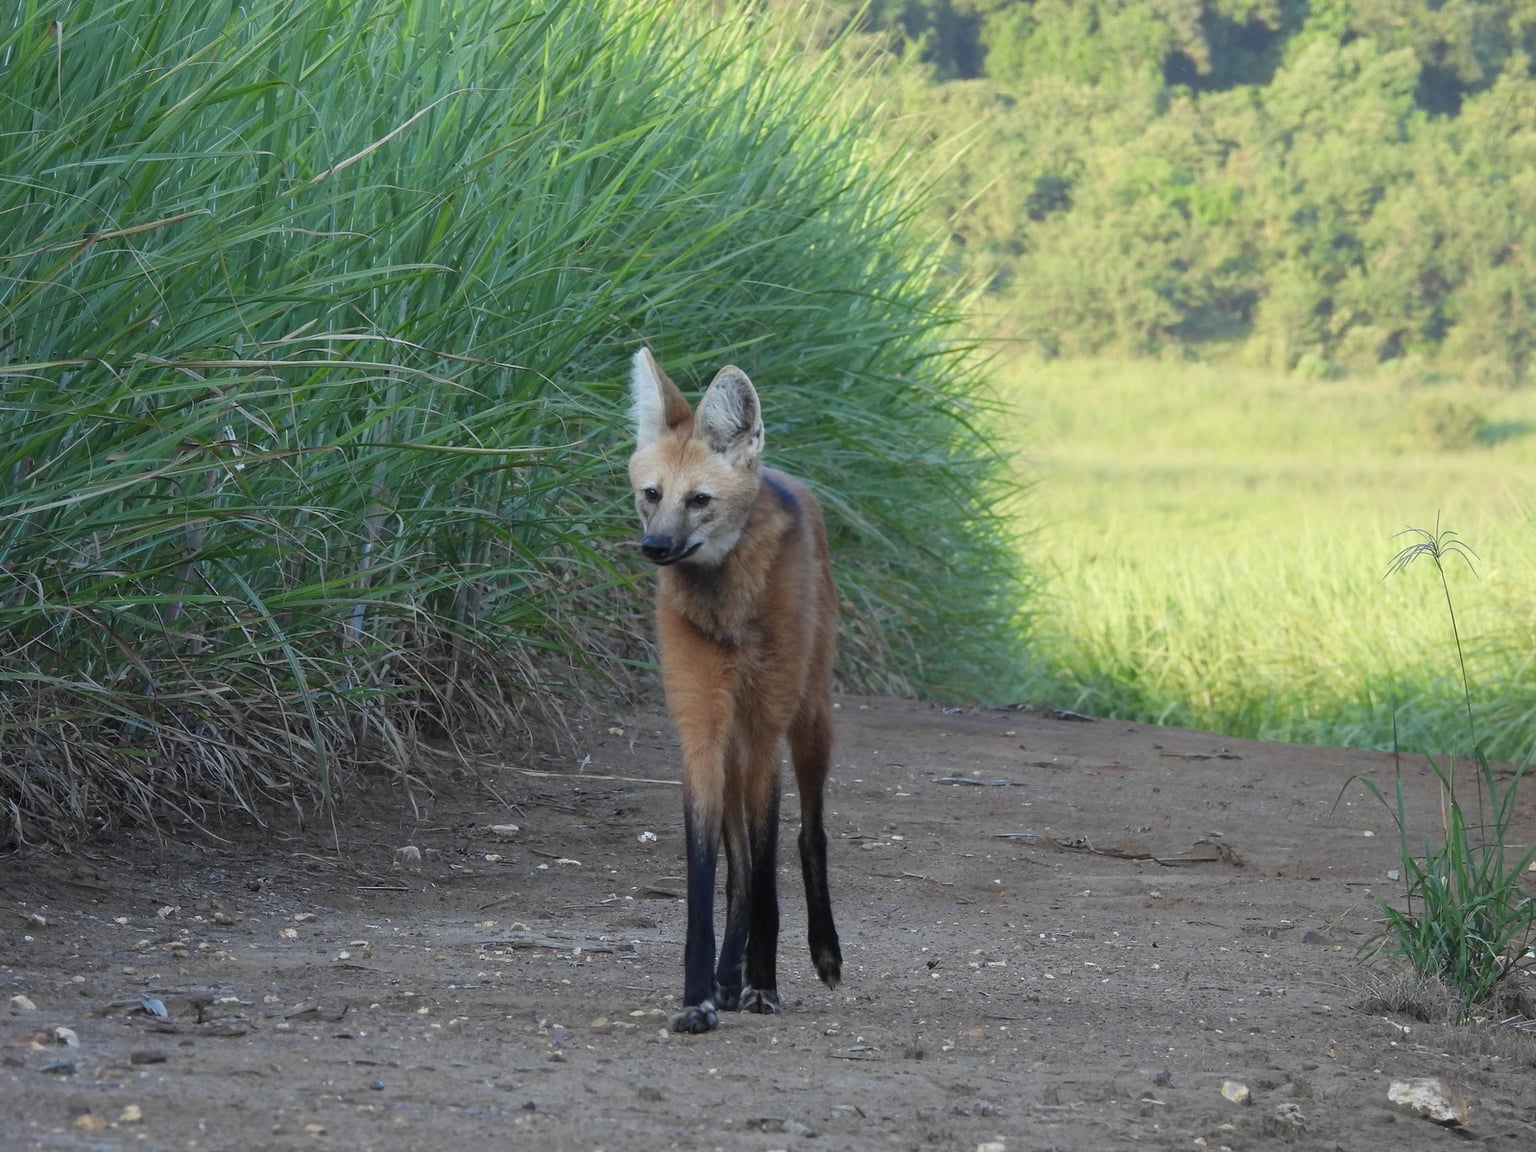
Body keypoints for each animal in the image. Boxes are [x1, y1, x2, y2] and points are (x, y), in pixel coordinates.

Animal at [627, 346, 843, 1034]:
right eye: (651, 495)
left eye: (699, 500)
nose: (655, 547)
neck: (727, 608)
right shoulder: (702, 728)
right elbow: (711, 875)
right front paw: (698, 993)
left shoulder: (764, 727)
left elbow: (770, 863)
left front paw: (763, 984)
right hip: (736, 739)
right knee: (739, 867)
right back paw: (728, 974)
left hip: (808, 715)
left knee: (806, 835)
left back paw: (822, 955)